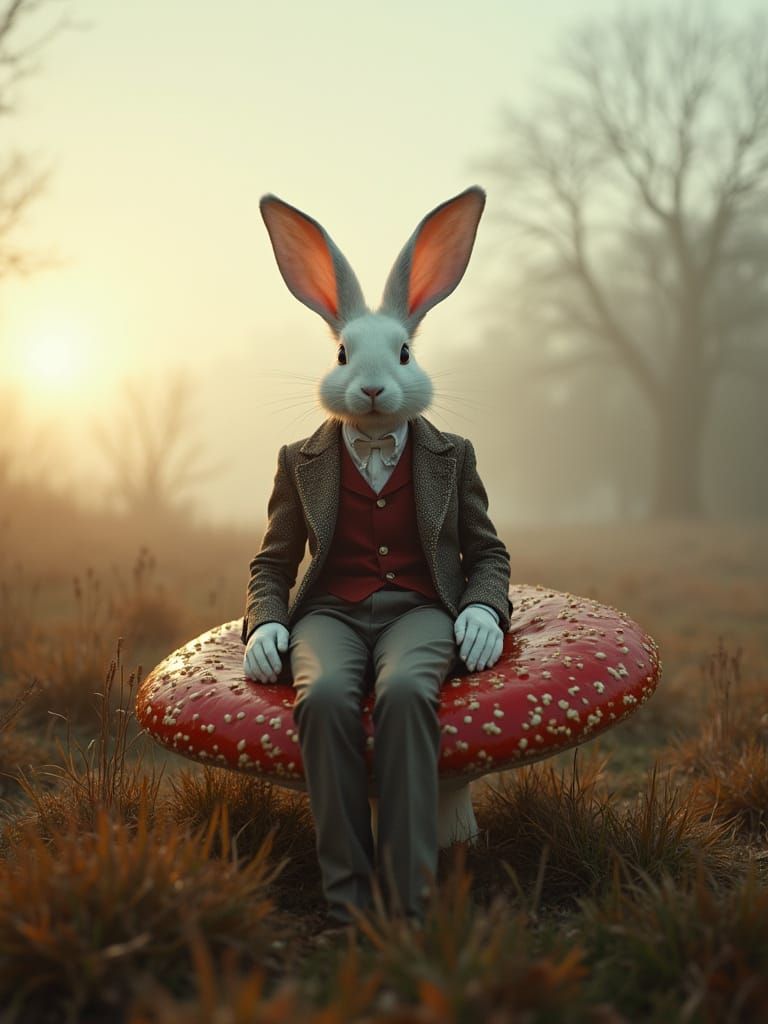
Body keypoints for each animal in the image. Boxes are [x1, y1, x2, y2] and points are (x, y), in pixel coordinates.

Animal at [242, 186, 511, 930]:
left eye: (405, 352)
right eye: (340, 353)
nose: (368, 389)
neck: (371, 439)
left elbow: (487, 549)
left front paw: (479, 628)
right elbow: (272, 561)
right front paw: (264, 640)